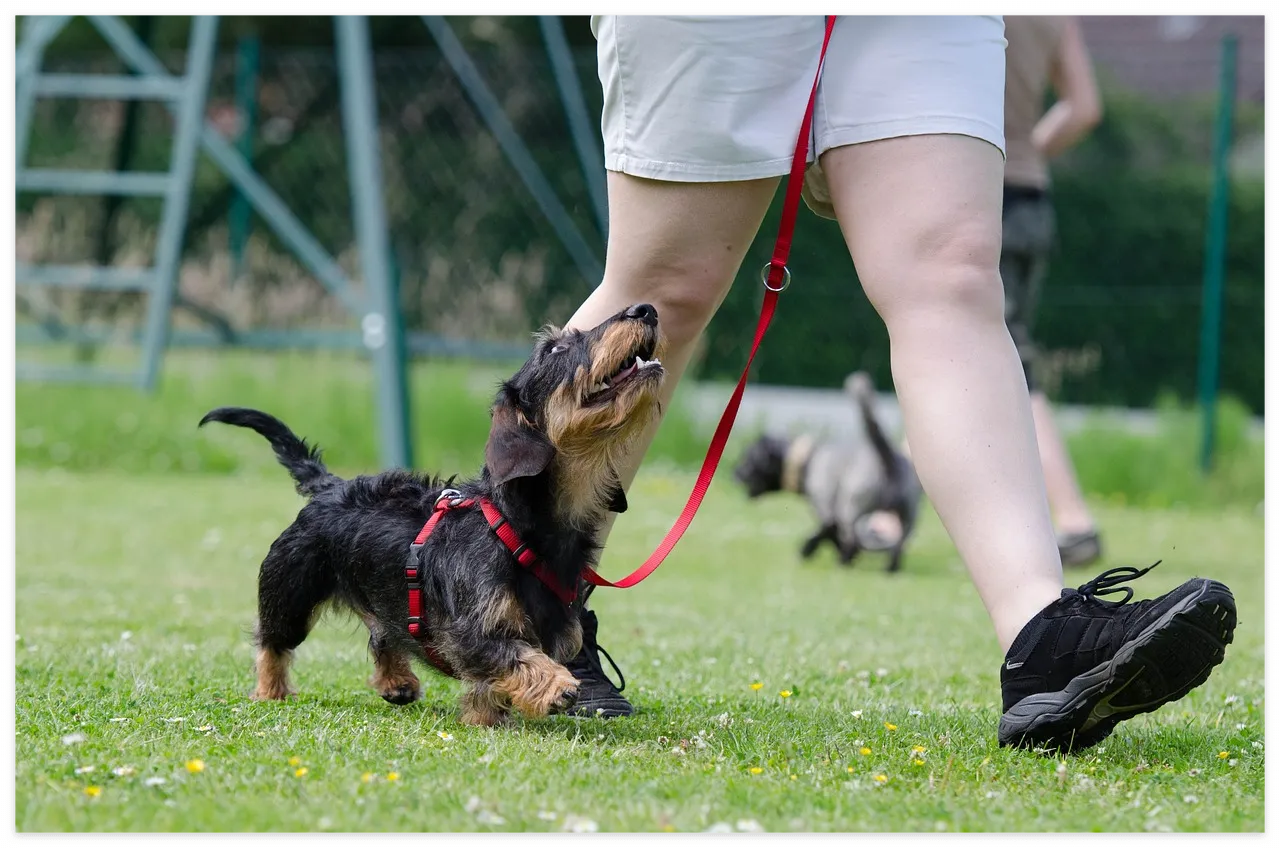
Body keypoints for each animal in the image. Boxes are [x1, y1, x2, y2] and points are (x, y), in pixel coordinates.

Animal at [732, 376, 921, 573]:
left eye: (747, 460)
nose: (734, 473)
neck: (807, 459)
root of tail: (887, 456)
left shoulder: (826, 510)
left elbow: (827, 533)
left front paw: (808, 549)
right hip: (908, 517)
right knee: (898, 545)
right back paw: (890, 569)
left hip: (851, 509)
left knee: (852, 538)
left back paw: (843, 562)